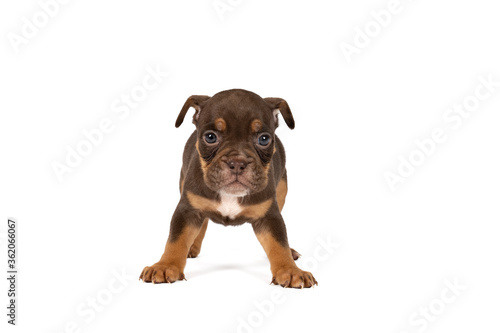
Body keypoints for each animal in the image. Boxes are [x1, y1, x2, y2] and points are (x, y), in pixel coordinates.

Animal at [140, 88, 316, 288]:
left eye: (264, 139)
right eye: (210, 137)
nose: (238, 162)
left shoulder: (269, 215)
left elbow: (279, 243)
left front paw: (290, 270)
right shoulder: (187, 209)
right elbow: (176, 239)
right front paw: (165, 265)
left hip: (282, 189)